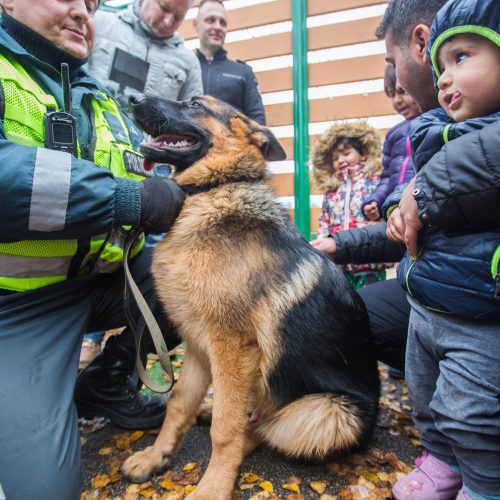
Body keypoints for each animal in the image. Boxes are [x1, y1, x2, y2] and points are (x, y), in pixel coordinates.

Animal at [122, 95, 378, 498]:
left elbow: (226, 429)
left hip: (332, 414)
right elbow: (178, 403)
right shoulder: (198, 344)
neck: (214, 189)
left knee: (263, 426)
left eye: (194, 102)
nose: (132, 98)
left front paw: (211, 489)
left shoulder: (231, 345)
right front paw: (154, 456)